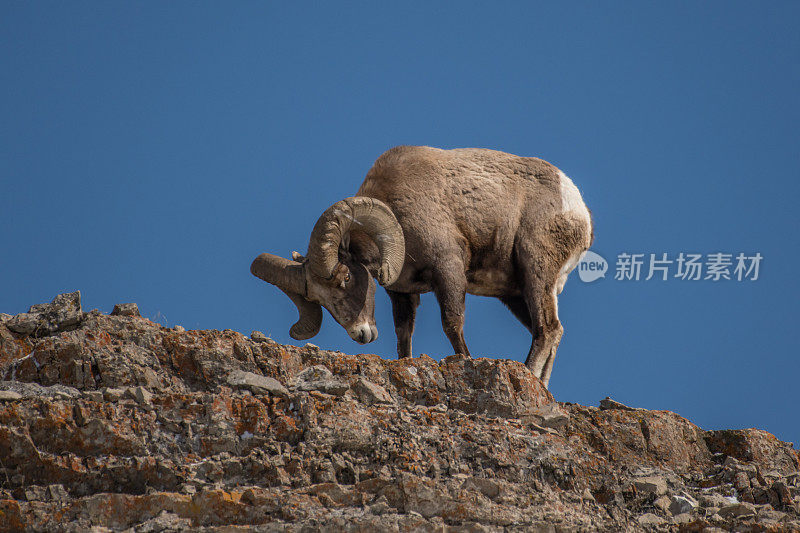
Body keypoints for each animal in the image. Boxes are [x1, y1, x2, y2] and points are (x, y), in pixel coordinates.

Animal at [252, 145, 592, 386]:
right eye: (317, 298)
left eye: (344, 278)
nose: (361, 334)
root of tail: (577, 205)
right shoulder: (403, 294)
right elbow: (404, 338)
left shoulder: (448, 271)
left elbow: (452, 324)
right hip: (515, 293)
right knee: (551, 331)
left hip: (535, 273)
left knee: (546, 330)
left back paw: (529, 376)